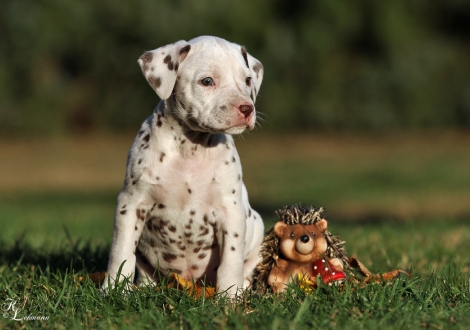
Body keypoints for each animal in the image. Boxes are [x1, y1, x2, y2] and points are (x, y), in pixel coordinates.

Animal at [103, 36, 264, 296]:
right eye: (207, 81)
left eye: (248, 80)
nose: (246, 108)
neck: (190, 148)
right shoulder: (131, 204)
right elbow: (122, 252)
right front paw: (113, 290)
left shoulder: (230, 210)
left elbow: (231, 260)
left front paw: (229, 297)